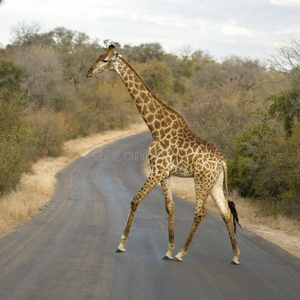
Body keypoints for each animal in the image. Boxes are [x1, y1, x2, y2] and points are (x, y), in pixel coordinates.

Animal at [86, 44, 241, 264]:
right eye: (99, 56)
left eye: (105, 60)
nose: (89, 72)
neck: (155, 127)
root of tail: (222, 162)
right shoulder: (165, 173)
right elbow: (170, 207)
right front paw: (168, 250)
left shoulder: (157, 169)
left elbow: (135, 200)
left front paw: (122, 244)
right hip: (215, 183)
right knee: (226, 213)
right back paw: (235, 256)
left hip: (201, 179)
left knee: (200, 212)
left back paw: (182, 253)